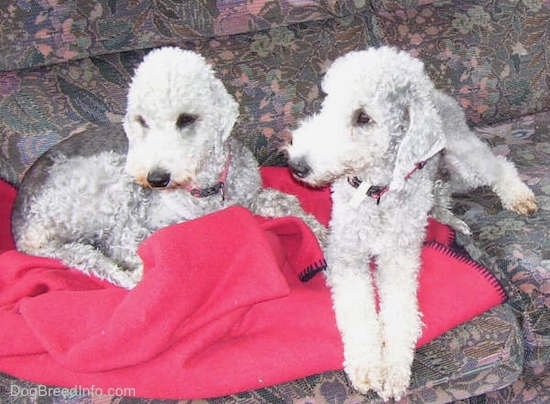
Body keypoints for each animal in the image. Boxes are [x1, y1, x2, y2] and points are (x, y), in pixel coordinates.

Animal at [11, 46, 328, 288]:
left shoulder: (251, 195)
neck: (207, 189)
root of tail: (22, 226)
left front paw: (322, 236)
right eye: (141, 121)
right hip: (111, 183)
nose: (156, 179)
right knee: (115, 246)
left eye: (186, 119)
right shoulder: (143, 222)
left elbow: (289, 204)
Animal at [288, 45, 540, 400]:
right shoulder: (346, 253)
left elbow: (399, 310)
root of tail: (433, 92)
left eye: (363, 117)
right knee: (446, 188)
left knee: (498, 165)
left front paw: (393, 370)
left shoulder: (399, 256)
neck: (376, 193)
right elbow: (357, 309)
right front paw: (367, 366)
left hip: (464, 152)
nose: (297, 166)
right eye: (327, 101)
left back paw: (517, 196)